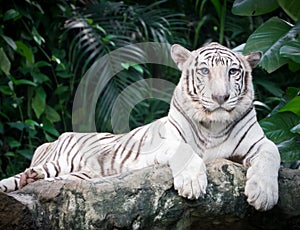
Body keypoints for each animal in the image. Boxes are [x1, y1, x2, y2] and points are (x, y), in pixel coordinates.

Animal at [0, 42, 282, 211]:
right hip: (59, 160)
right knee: (19, 178)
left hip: (78, 174)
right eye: (204, 71)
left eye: (233, 72)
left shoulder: (260, 143)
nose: (220, 97)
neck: (213, 125)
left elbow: (272, 154)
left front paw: (264, 194)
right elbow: (185, 151)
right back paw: (26, 178)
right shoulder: (164, 144)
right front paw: (192, 184)